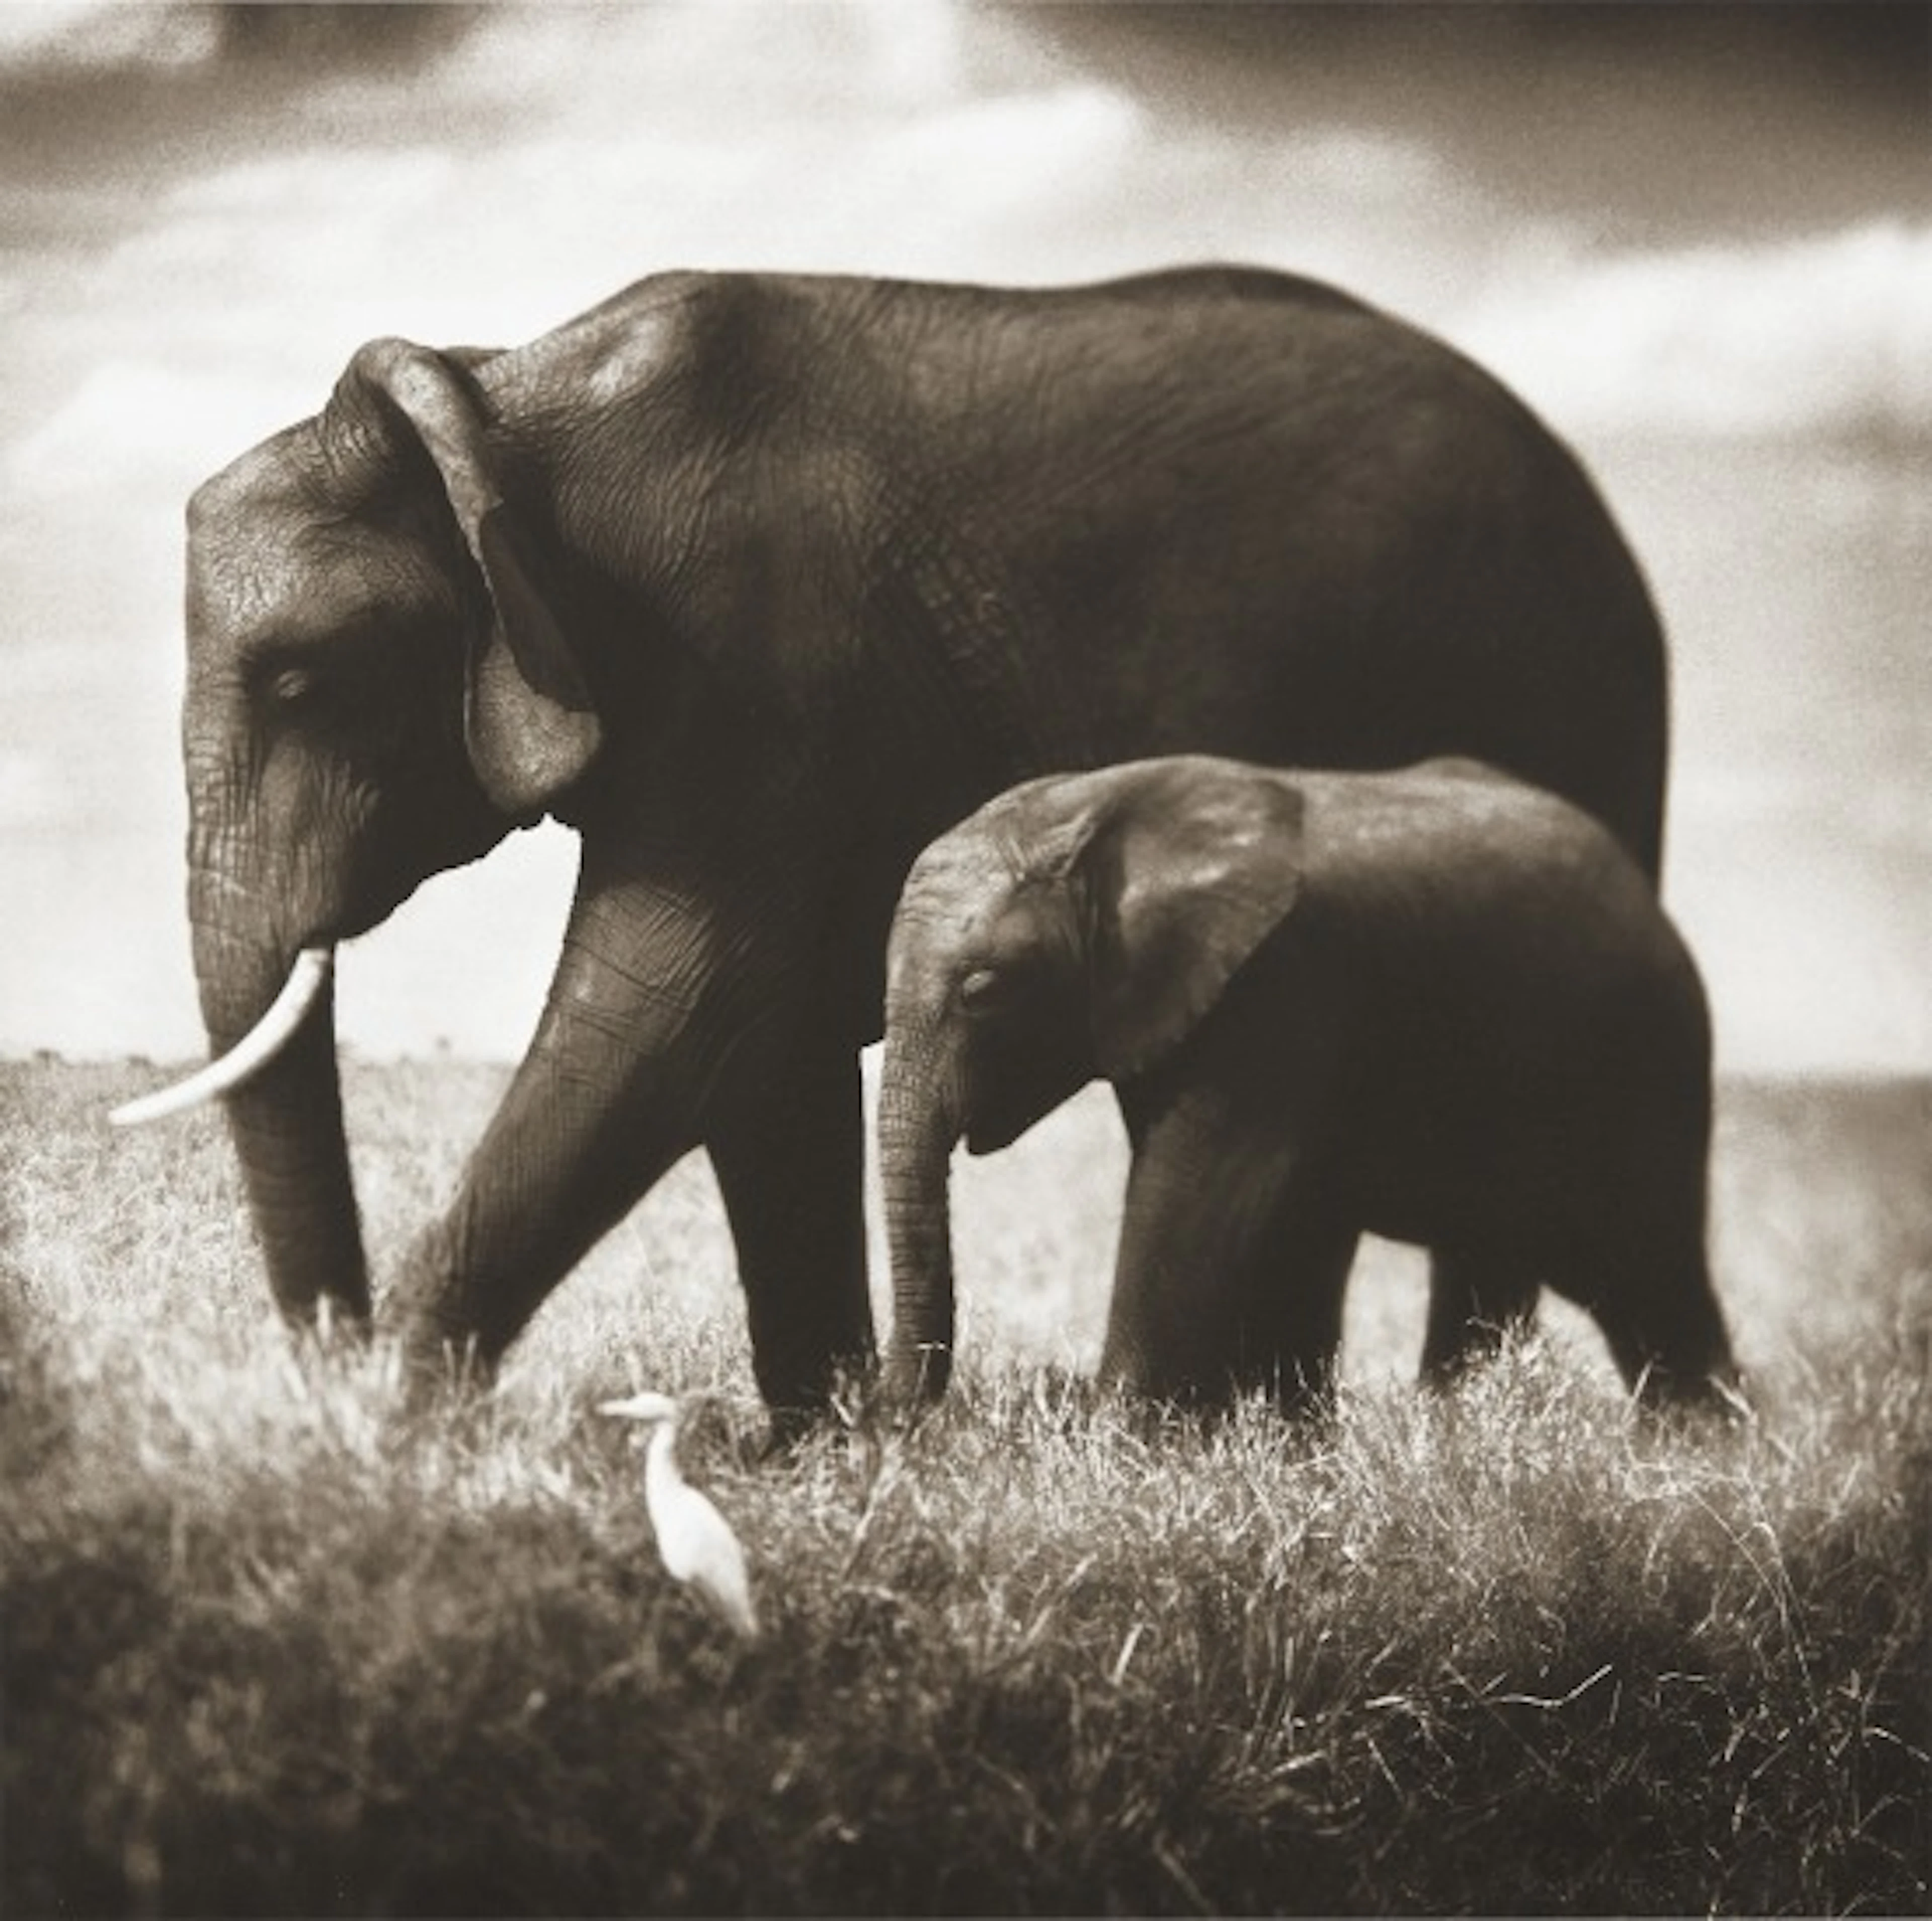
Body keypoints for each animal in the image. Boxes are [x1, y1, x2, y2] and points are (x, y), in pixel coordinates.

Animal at [879, 754, 1739, 1414]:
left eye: (982, 989)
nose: (902, 1427)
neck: (1096, 804)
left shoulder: (1277, 984)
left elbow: (1197, 1197)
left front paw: (1117, 1441)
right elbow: (1280, 1221)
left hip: (1646, 1058)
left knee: (1650, 1271)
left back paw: (1701, 1456)